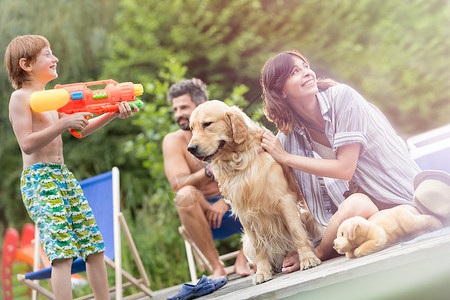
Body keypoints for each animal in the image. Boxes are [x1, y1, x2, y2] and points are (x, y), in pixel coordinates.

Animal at [186, 100, 324, 284]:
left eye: (207, 124)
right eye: (191, 128)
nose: (190, 148)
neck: (239, 161)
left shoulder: (284, 200)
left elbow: (296, 232)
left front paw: (307, 258)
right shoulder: (245, 213)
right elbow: (260, 246)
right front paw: (263, 272)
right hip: (246, 243)